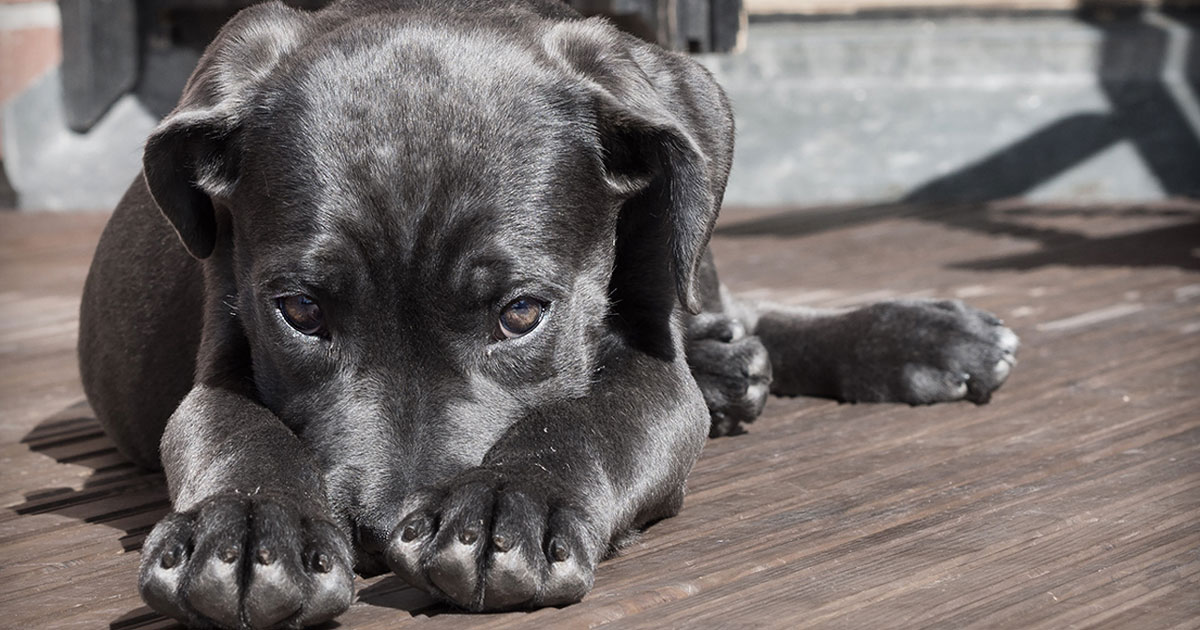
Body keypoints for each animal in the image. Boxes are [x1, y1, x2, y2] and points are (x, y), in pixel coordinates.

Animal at [72, 2, 1012, 624]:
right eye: (299, 310)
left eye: (522, 314)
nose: (377, 531)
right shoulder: (223, 347)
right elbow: (232, 427)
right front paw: (247, 526)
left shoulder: (650, 366)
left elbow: (591, 418)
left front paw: (506, 505)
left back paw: (916, 336)